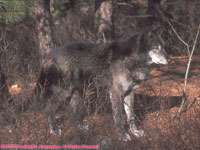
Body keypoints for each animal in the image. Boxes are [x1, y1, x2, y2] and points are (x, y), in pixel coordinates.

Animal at [35, 29, 170, 142]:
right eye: (156, 48)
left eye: (164, 47)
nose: (169, 60)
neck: (130, 59)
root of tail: (51, 54)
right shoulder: (115, 93)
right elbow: (118, 117)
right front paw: (122, 136)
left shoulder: (130, 93)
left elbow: (131, 116)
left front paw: (135, 132)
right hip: (62, 91)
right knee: (48, 108)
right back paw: (54, 129)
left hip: (80, 92)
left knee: (71, 110)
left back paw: (79, 127)